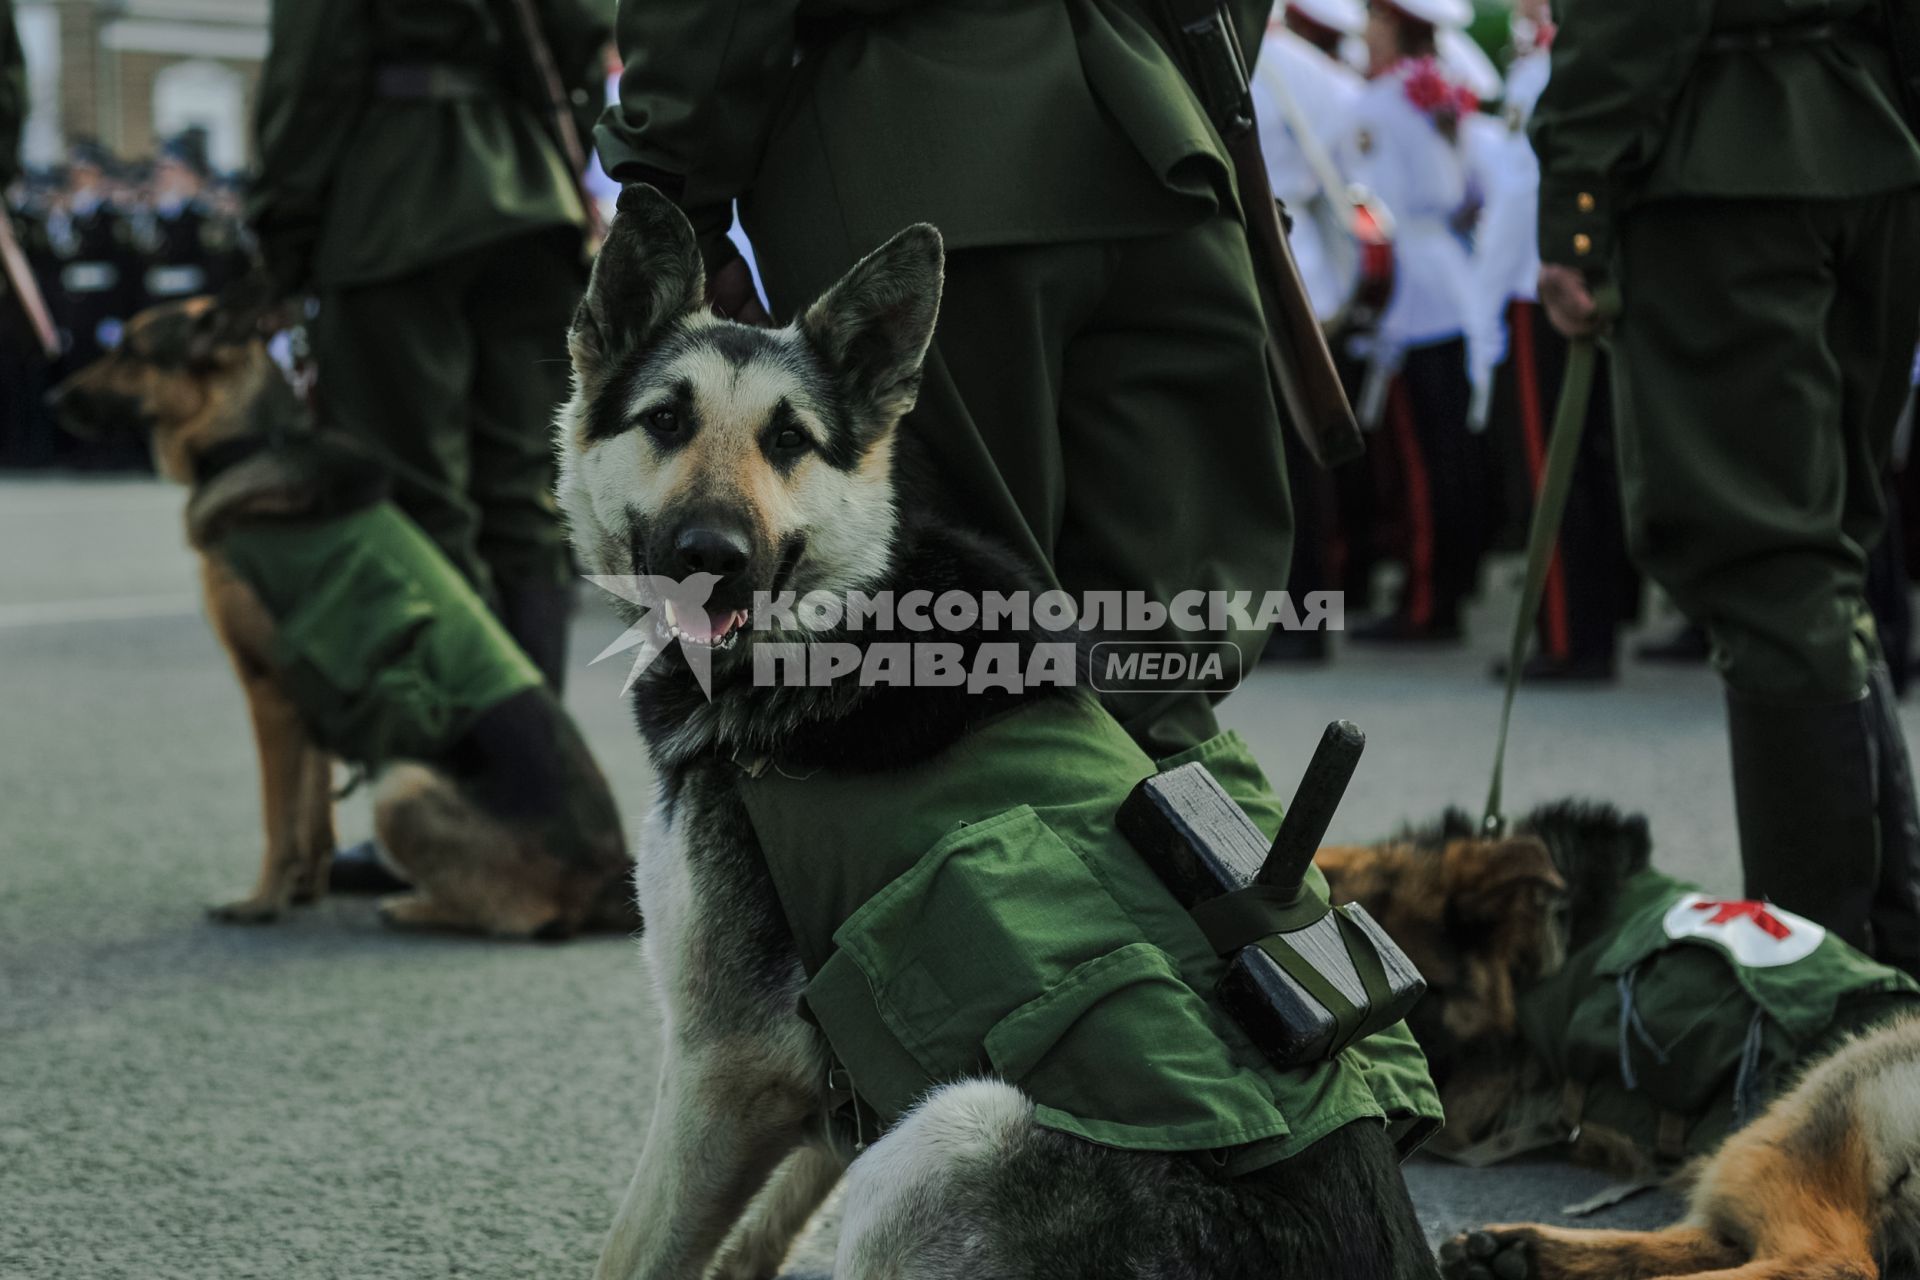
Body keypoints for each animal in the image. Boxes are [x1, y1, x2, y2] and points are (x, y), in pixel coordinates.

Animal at [52, 289, 633, 940]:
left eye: (130, 351)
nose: (53, 400)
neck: (256, 442)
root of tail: (610, 874)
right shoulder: (307, 704)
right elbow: (310, 810)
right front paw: (303, 889)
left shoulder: (268, 692)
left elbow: (278, 816)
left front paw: (260, 902)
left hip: (401, 787)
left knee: (522, 917)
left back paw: (414, 905)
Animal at [556, 182, 1443, 1280]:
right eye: (667, 420)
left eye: (790, 441)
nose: (711, 557)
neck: (838, 619)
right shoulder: (835, 1087)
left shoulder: (724, 1066)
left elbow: (638, 1252)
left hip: (949, 1130)